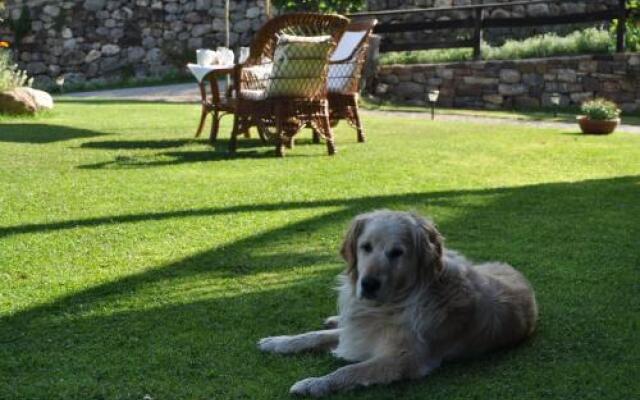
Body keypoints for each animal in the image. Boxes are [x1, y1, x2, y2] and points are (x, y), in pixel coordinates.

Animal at [258, 211, 536, 396]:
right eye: (365, 247)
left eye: (397, 253)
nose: (368, 284)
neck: (394, 303)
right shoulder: (362, 329)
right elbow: (313, 335)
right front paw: (277, 342)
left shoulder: (404, 360)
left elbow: (349, 371)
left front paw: (313, 384)